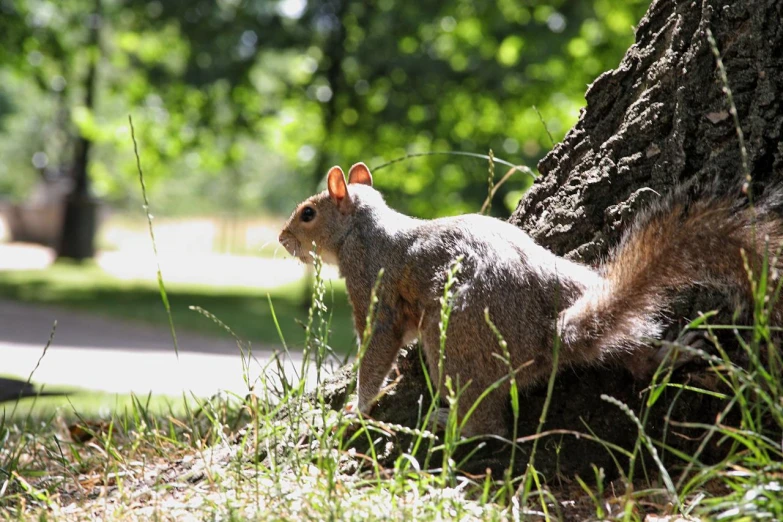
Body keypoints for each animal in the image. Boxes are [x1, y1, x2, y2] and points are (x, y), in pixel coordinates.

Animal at [278, 162, 780, 434]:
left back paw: (450, 423)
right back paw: (667, 355)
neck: (364, 228)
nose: (282, 239)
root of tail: (550, 336)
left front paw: (357, 409)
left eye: (308, 213)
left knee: (490, 424)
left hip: (455, 341)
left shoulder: (372, 284)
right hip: (577, 282)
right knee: (629, 349)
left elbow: (377, 346)